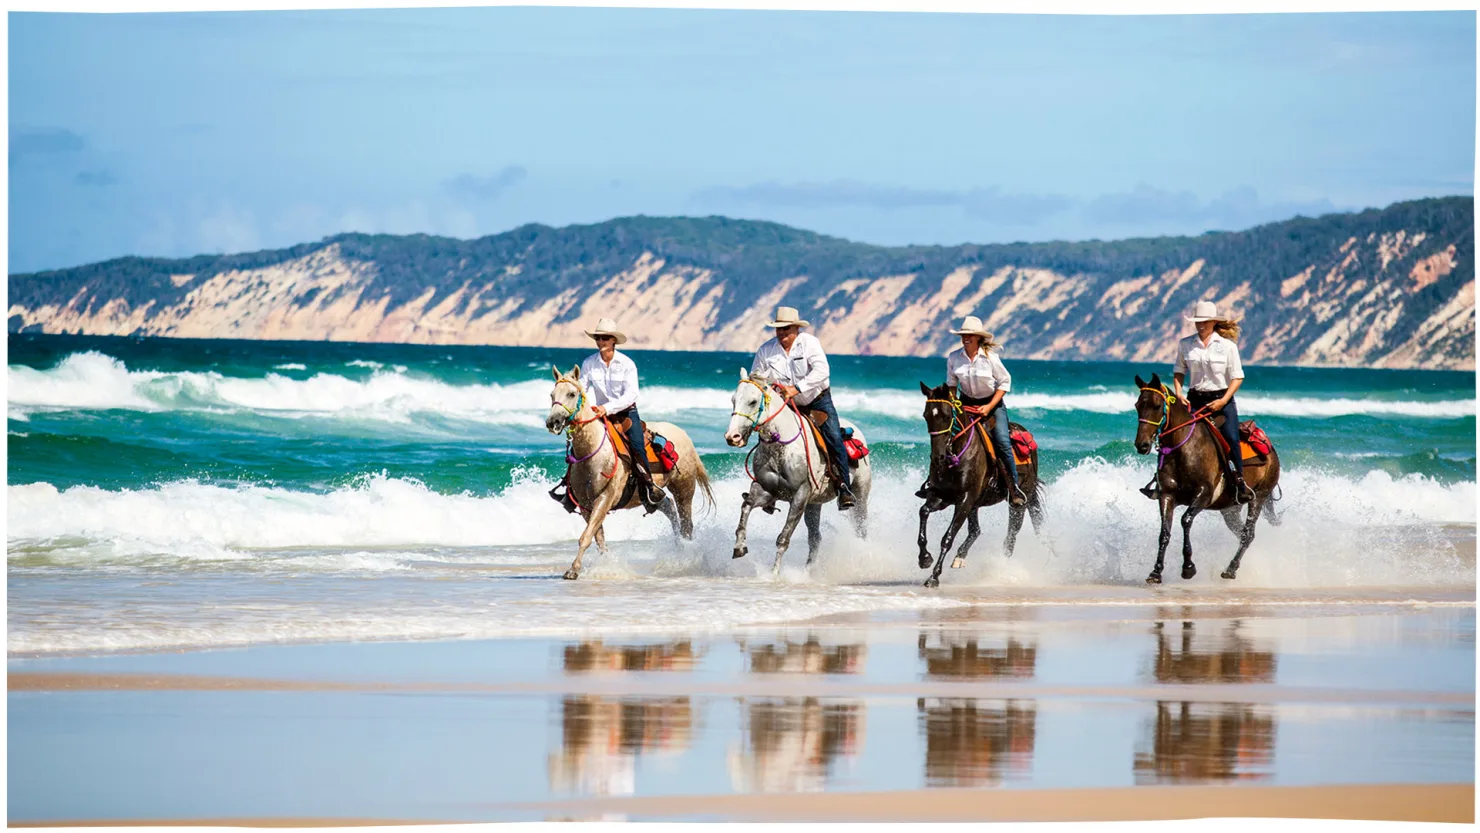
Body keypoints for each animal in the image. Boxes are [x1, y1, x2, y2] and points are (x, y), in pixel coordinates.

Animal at [547, 368, 713, 582]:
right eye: (552, 395)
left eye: (571, 394)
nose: (553, 422)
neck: (591, 452)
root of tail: (684, 435)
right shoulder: (585, 504)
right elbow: (597, 537)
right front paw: (606, 565)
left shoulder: (605, 498)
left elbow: (586, 536)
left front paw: (573, 570)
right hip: (650, 496)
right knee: (669, 508)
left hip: (684, 489)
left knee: (686, 524)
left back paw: (685, 557)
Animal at [725, 369, 864, 574]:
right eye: (733, 400)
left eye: (752, 401)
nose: (732, 437)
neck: (780, 445)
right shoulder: (766, 490)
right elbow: (745, 508)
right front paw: (739, 547)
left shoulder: (800, 495)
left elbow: (783, 538)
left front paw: (774, 574)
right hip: (814, 504)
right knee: (815, 538)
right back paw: (808, 571)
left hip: (861, 493)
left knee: (861, 527)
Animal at [905, 381, 1047, 588]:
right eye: (926, 415)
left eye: (947, 416)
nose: (938, 457)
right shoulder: (942, 496)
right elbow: (923, 512)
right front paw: (924, 559)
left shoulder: (964, 500)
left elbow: (948, 537)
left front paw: (934, 577)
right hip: (976, 503)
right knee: (976, 530)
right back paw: (960, 557)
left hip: (1020, 499)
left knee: (1012, 532)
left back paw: (1002, 567)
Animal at [1130, 374, 1284, 582]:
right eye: (1137, 405)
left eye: (1156, 405)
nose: (1142, 445)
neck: (1183, 449)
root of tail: (1271, 449)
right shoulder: (1167, 495)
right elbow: (1164, 532)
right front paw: (1156, 572)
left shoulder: (1204, 494)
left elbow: (1186, 520)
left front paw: (1188, 567)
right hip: (1230, 509)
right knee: (1241, 532)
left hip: (1258, 497)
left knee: (1247, 534)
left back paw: (1230, 569)